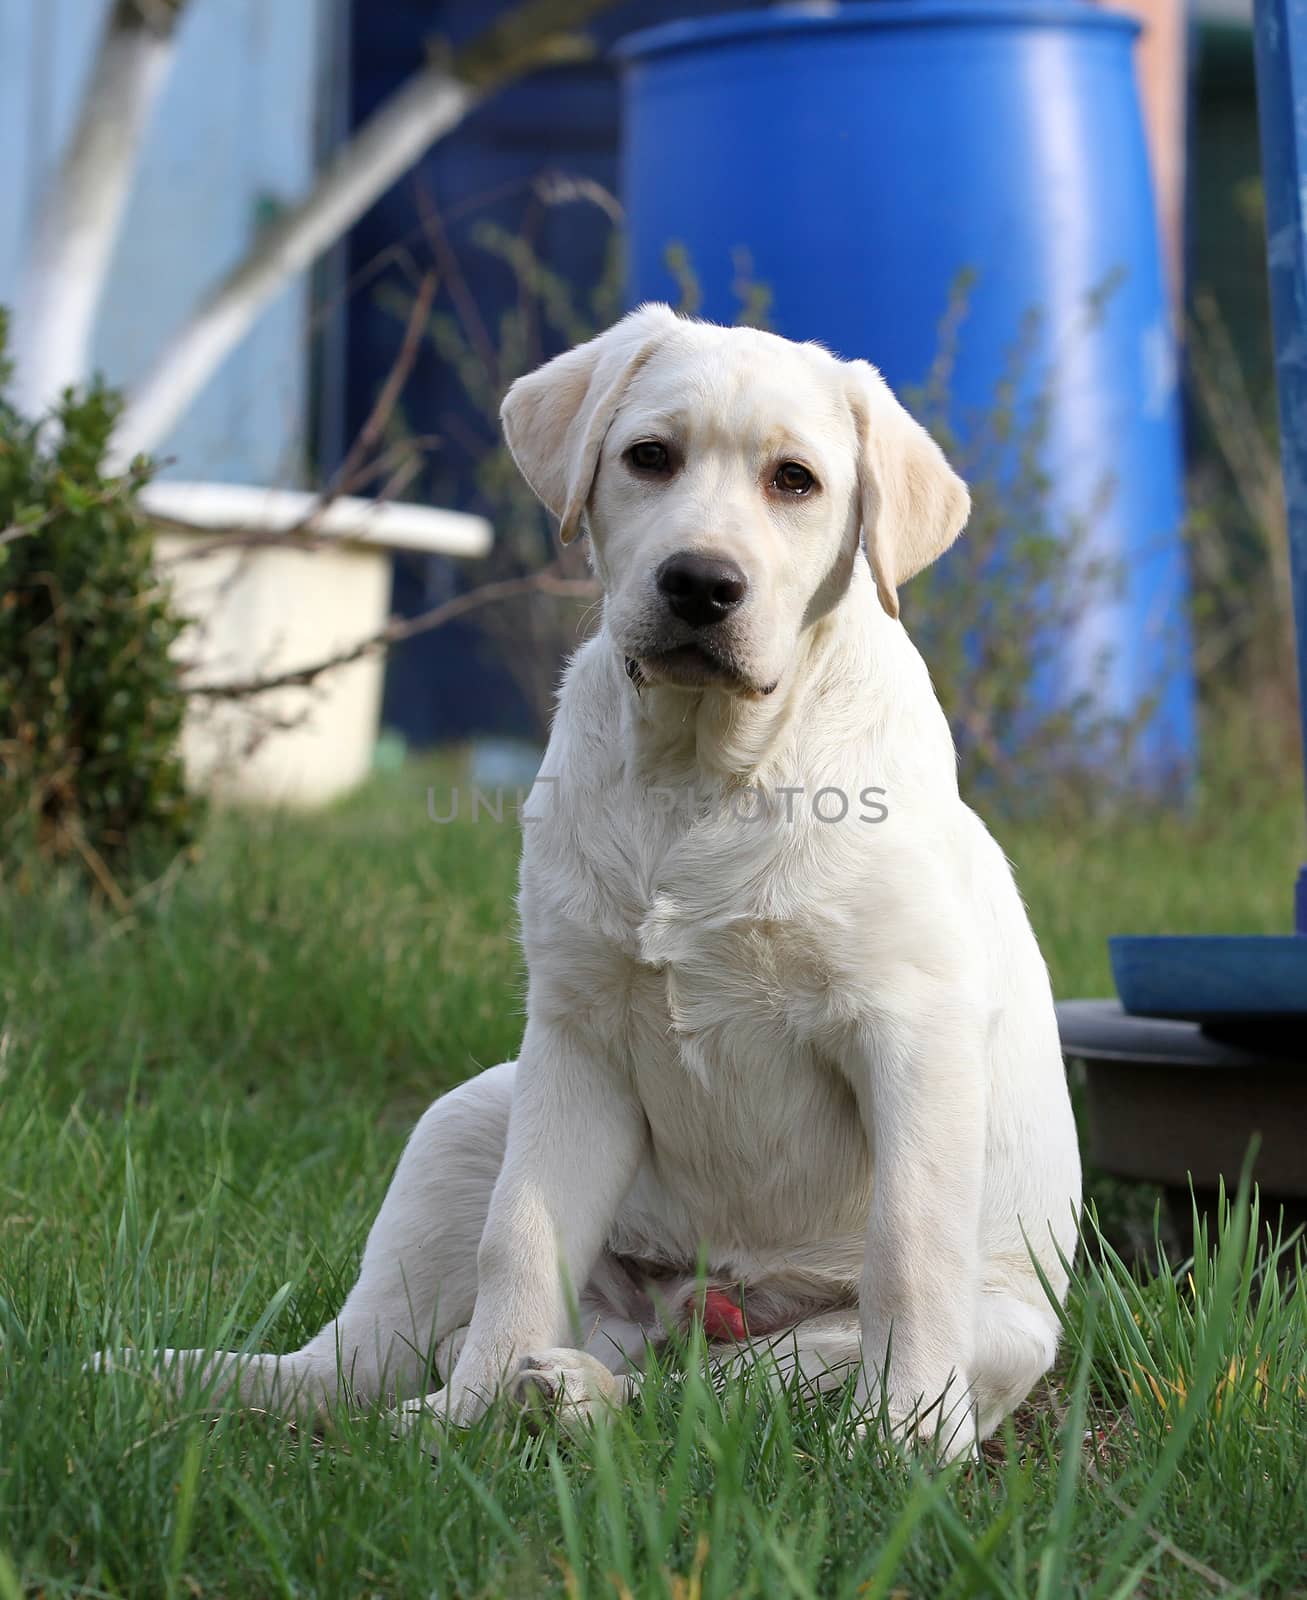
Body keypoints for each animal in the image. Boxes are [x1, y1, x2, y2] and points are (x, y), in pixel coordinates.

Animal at [132, 305, 1081, 1459]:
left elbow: (905, 1245)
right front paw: (467, 1416)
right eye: (648, 457)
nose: (700, 584)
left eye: (795, 481)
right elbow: (518, 1237)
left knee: (718, 1397)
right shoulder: (576, 1034)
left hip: (934, 1338)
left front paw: (904, 1439)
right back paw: (241, 1385)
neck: (698, 766)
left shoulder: (911, 1032)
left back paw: (588, 1396)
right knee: (354, 1361)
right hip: (467, 1116)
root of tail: (686, 1309)